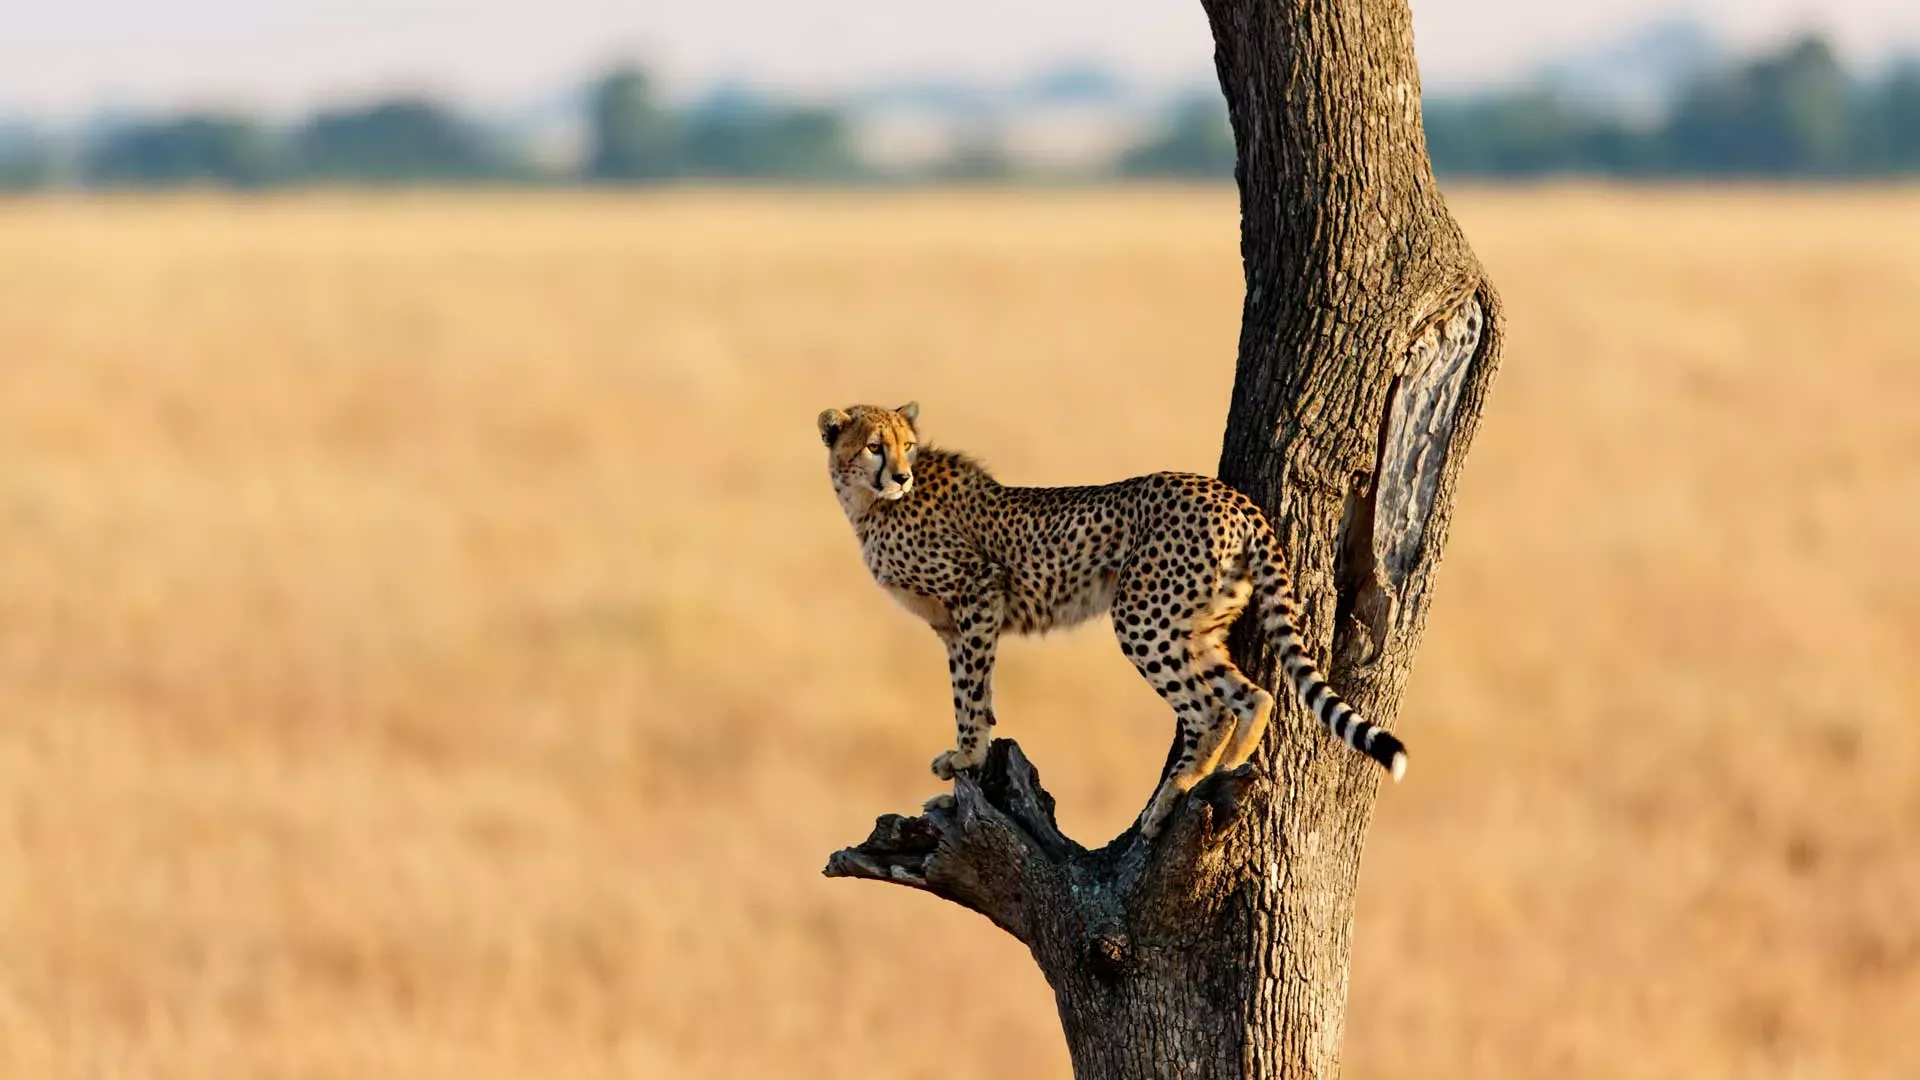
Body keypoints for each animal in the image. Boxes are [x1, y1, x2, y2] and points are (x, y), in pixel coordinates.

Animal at [817, 401, 1405, 834]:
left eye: (907, 445)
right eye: (875, 445)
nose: (900, 475)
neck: (870, 503)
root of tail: (1230, 495)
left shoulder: (978, 592)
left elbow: (969, 693)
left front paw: (966, 758)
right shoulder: (954, 623)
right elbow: (974, 690)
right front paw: (969, 762)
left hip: (1142, 616)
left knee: (1211, 710)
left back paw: (1173, 796)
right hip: (1196, 624)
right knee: (1252, 695)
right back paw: (1227, 768)